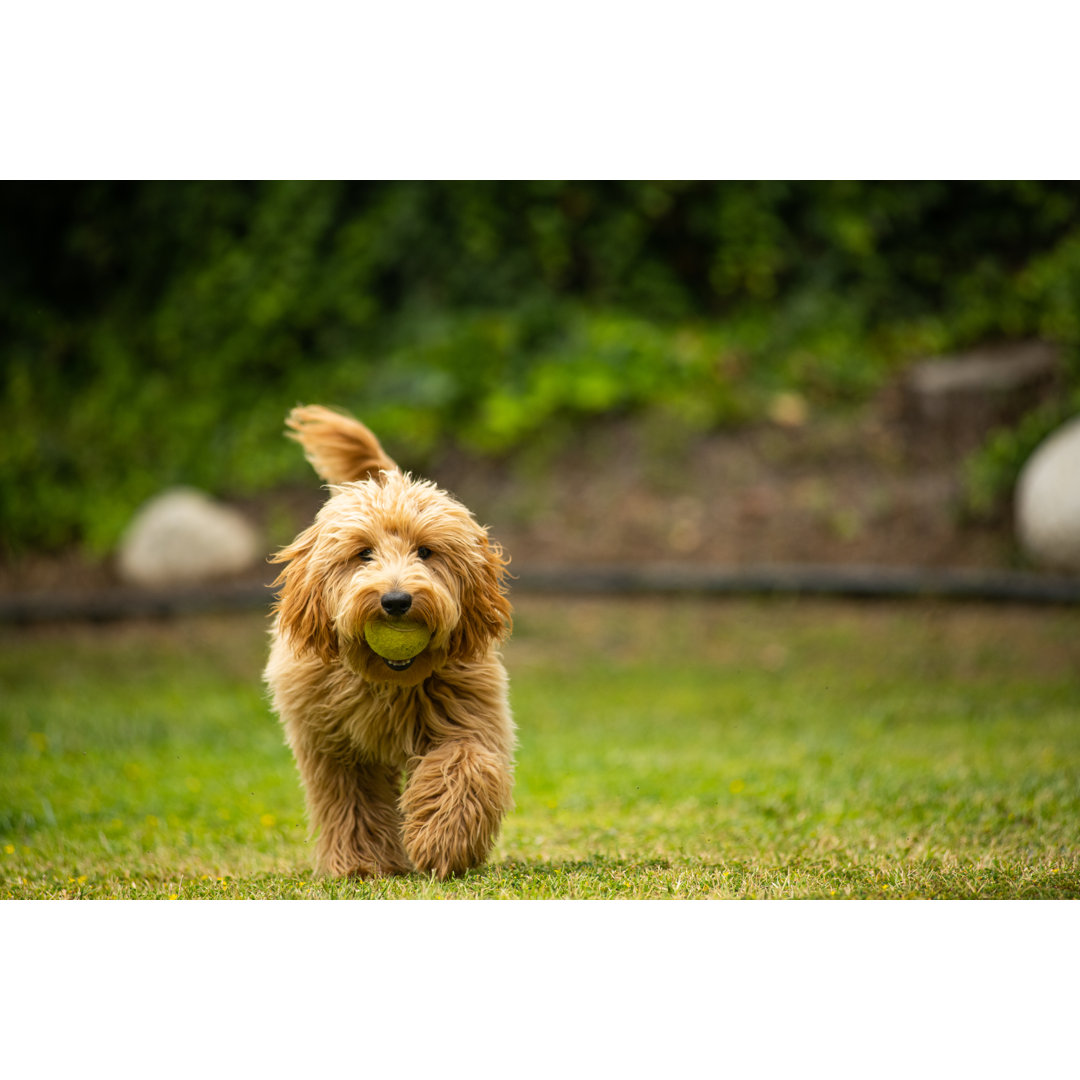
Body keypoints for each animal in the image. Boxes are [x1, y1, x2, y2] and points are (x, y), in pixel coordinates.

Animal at [262, 406, 514, 876]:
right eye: (363, 553)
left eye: (426, 552)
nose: (396, 601)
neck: (386, 682)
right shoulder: (333, 746)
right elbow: (350, 802)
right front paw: (362, 865)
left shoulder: (467, 714)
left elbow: (466, 764)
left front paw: (442, 840)